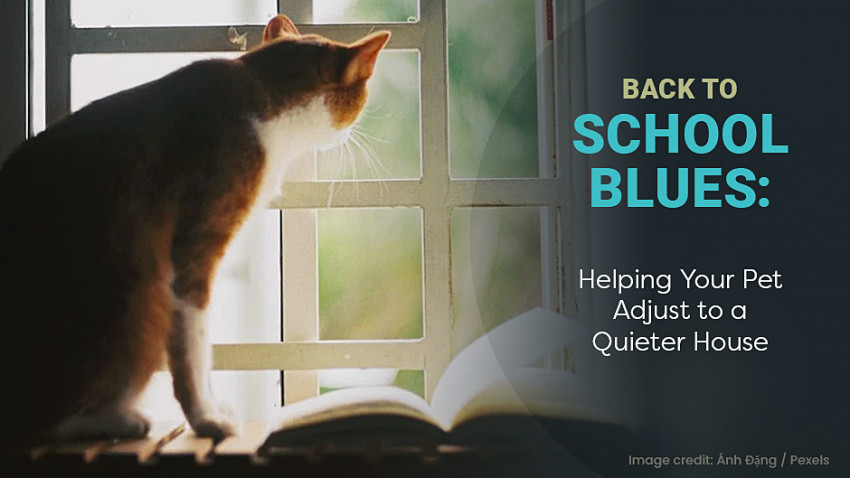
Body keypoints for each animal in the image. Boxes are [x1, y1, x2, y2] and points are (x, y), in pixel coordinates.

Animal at [0, 12, 390, 444]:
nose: (352, 132)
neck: (262, 96)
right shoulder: (192, 252)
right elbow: (194, 348)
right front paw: (206, 417)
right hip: (137, 298)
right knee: (45, 419)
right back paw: (118, 420)